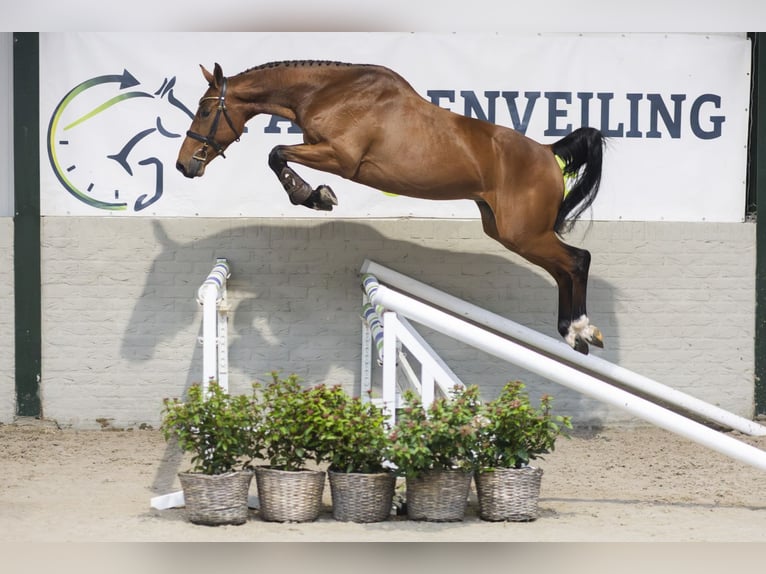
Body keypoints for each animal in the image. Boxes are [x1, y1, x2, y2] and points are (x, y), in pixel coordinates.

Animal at [176, 61, 606, 354]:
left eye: (204, 110)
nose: (184, 166)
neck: (327, 91)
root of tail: (548, 153)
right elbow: (277, 153)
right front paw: (315, 194)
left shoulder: (340, 157)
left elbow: (276, 152)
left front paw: (313, 195)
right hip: (507, 231)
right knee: (563, 268)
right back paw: (573, 334)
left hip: (524, 233)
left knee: (578, 260)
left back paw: (582, 329)